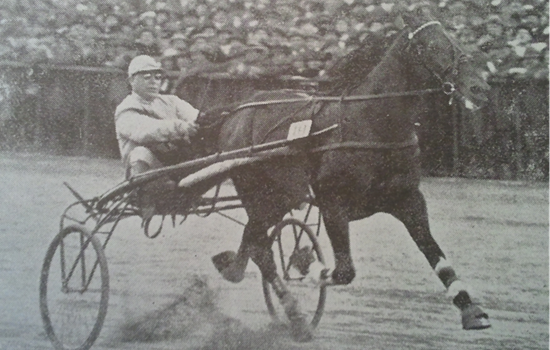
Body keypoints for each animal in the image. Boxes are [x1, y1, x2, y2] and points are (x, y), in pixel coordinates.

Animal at [205, 7, 494, 342]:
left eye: (457, 40)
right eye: (430, 45)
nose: (479, 89)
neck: (373, 123)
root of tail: (236, 113)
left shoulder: (408, 198)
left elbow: (439, 258)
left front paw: (471, 309)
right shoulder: (333, 200)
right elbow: (343, 271)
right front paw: (306, 265)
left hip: (278, 197)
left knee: (254, 244)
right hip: (261, 194)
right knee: (259, 247)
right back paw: (290, 311)